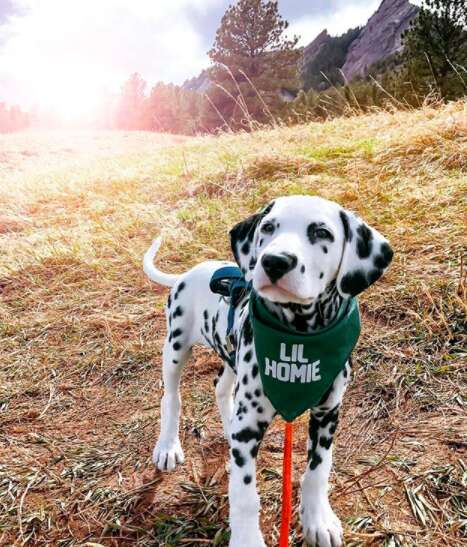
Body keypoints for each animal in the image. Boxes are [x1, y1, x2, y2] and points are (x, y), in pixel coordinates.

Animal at [144, 197, 394, 547]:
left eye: (321, 232)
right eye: (268, 227)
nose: (274, 262)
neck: (299, 335)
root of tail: (190, 273)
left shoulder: (328, 412)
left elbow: (318, 469)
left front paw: (317, 520)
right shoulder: (250, 423)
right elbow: (244, 494)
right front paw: (247, 539)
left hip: (231, 357)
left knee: (221, 387)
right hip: (176, 347)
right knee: (171, 397)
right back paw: (167, 446)